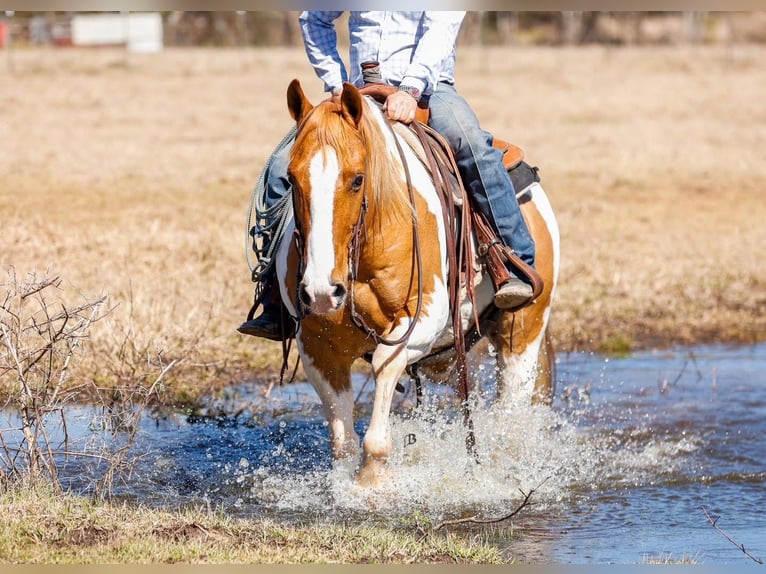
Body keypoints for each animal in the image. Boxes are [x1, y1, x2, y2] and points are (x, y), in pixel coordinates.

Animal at [272, 79, 560, 488]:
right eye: (294, 179)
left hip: (523, 331)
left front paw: (372, 476)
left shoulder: (420, 323)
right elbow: (342, 443)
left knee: (510, 416)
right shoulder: (317, 346)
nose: (323, 292)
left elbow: (383, 366)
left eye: (357, 179)